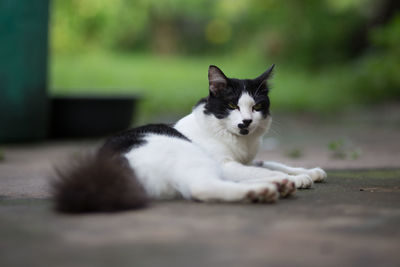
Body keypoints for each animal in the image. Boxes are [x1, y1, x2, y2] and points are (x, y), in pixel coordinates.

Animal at [53, 65, 326, 214]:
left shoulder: (246, 160)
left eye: (257, 106)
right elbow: (261, 169)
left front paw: (308, 172)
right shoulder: (228, 163)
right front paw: (297, 178)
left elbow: (271, 163)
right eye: (232, 105)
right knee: (201, 187)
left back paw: (275, 187)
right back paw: (264, 190)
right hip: (193, 157)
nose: (247, 122)